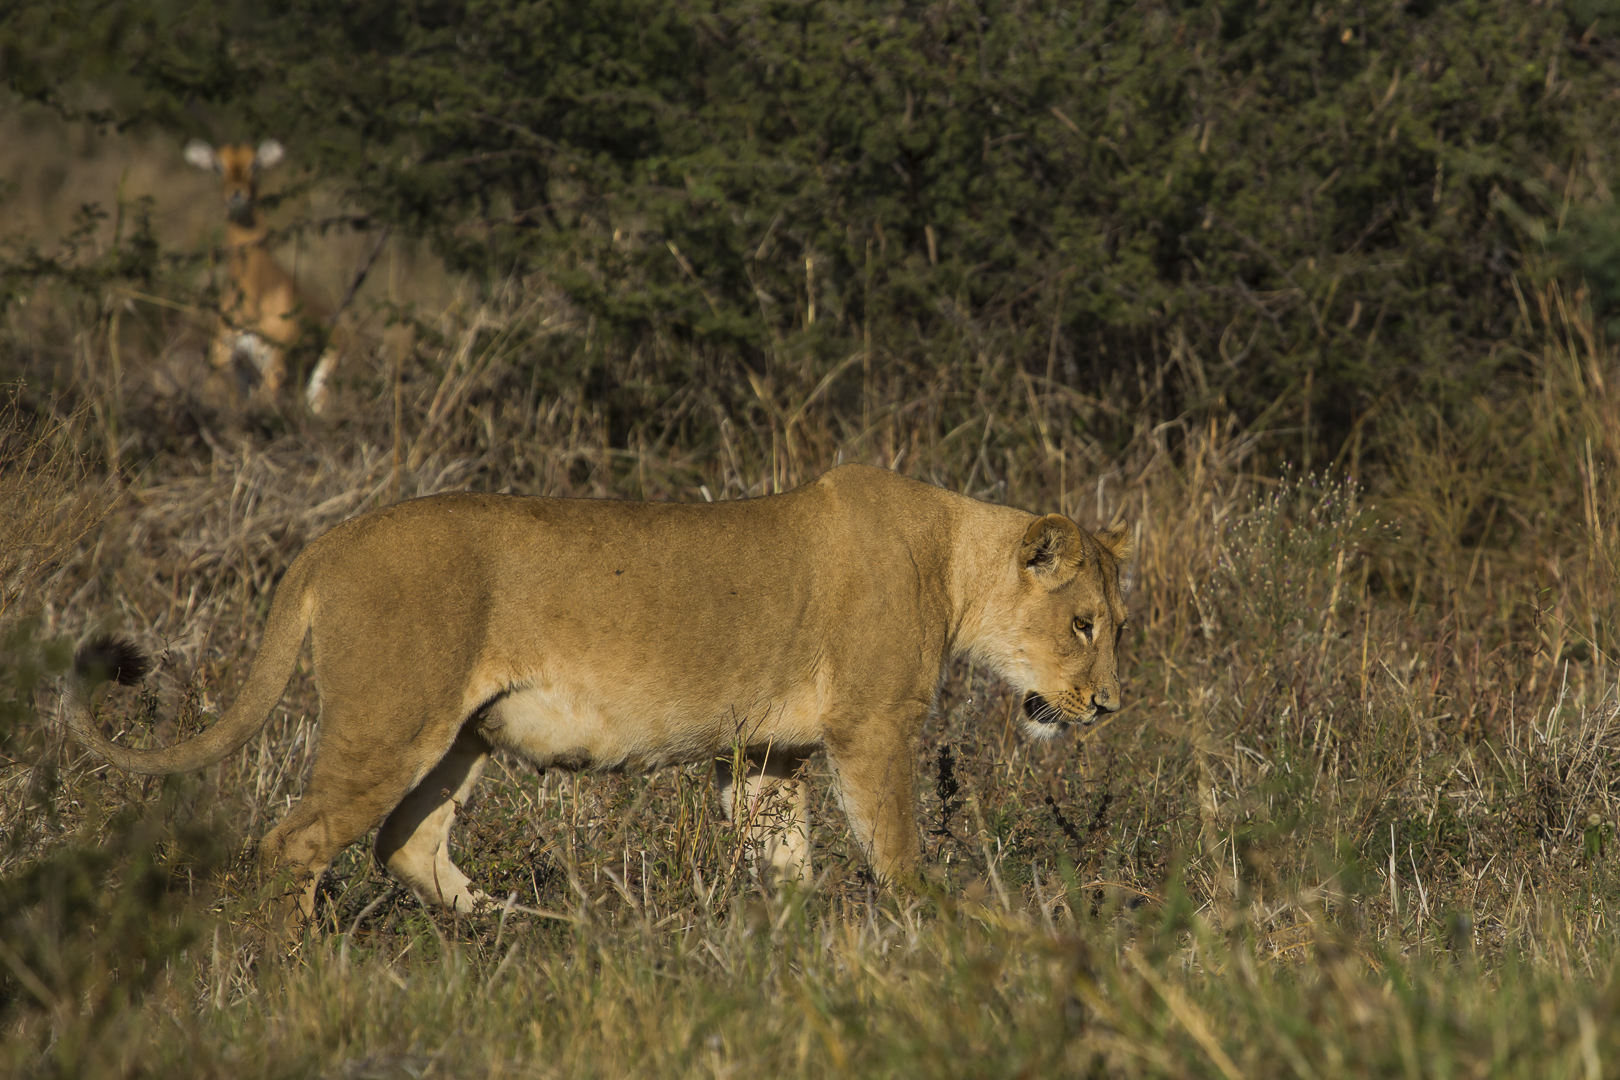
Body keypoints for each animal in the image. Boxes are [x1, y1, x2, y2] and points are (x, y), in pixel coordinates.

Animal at [184, 139, 341, 414]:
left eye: (255, 164)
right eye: (217, 165)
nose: (237, 193)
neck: (255, 289)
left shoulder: (275, 362)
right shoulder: (225, 357)